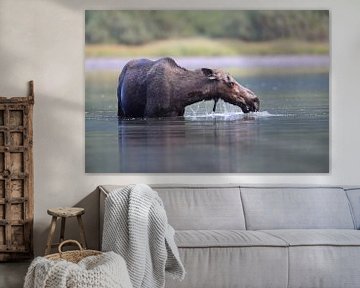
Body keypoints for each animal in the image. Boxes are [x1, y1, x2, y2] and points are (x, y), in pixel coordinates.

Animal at [116, 56, 260, 117]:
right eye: (230, 83)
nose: (255, 99)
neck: (181, 96)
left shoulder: (179, 113)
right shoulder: (151, 113)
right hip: (121, 109)